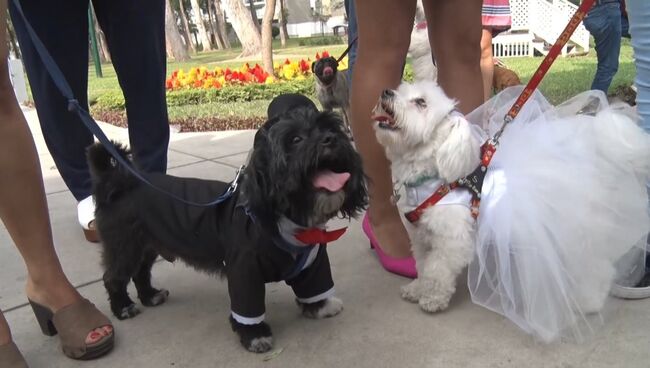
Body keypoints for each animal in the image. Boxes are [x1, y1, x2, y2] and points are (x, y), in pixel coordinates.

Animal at [87, 93, 364, 352]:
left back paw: (150, 295)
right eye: (295, 140)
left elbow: (314, 286)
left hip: (147, 246)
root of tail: (120, 183)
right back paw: (123, 307)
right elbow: (248, 307)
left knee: (141, 272)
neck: (285, 220)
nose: (331, 140)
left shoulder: (313, 263)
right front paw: (254, 335)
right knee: (114, 277)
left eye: (331, 129)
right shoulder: (244, 270)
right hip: (125, 246)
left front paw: (320, 306)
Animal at [370, 80, 648, 340]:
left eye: (421, 103)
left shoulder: (452, 242)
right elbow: (424, 266)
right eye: (401, 90)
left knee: (599, 267)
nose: (386, 92)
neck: (437, 180)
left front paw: (432, 299)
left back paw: (589, 301)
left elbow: (437, 271)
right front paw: (417, 289)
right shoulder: (423, 238)